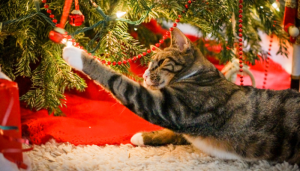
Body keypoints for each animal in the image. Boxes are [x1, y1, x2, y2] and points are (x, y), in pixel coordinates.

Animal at [63, 27, 300, 164]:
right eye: (149, 64)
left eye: (160, 62)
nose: (146, 74)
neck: (199, 75)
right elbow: (173, 133)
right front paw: (144, 136)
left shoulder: (171, 107)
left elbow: (118, 81)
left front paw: (75, 53)